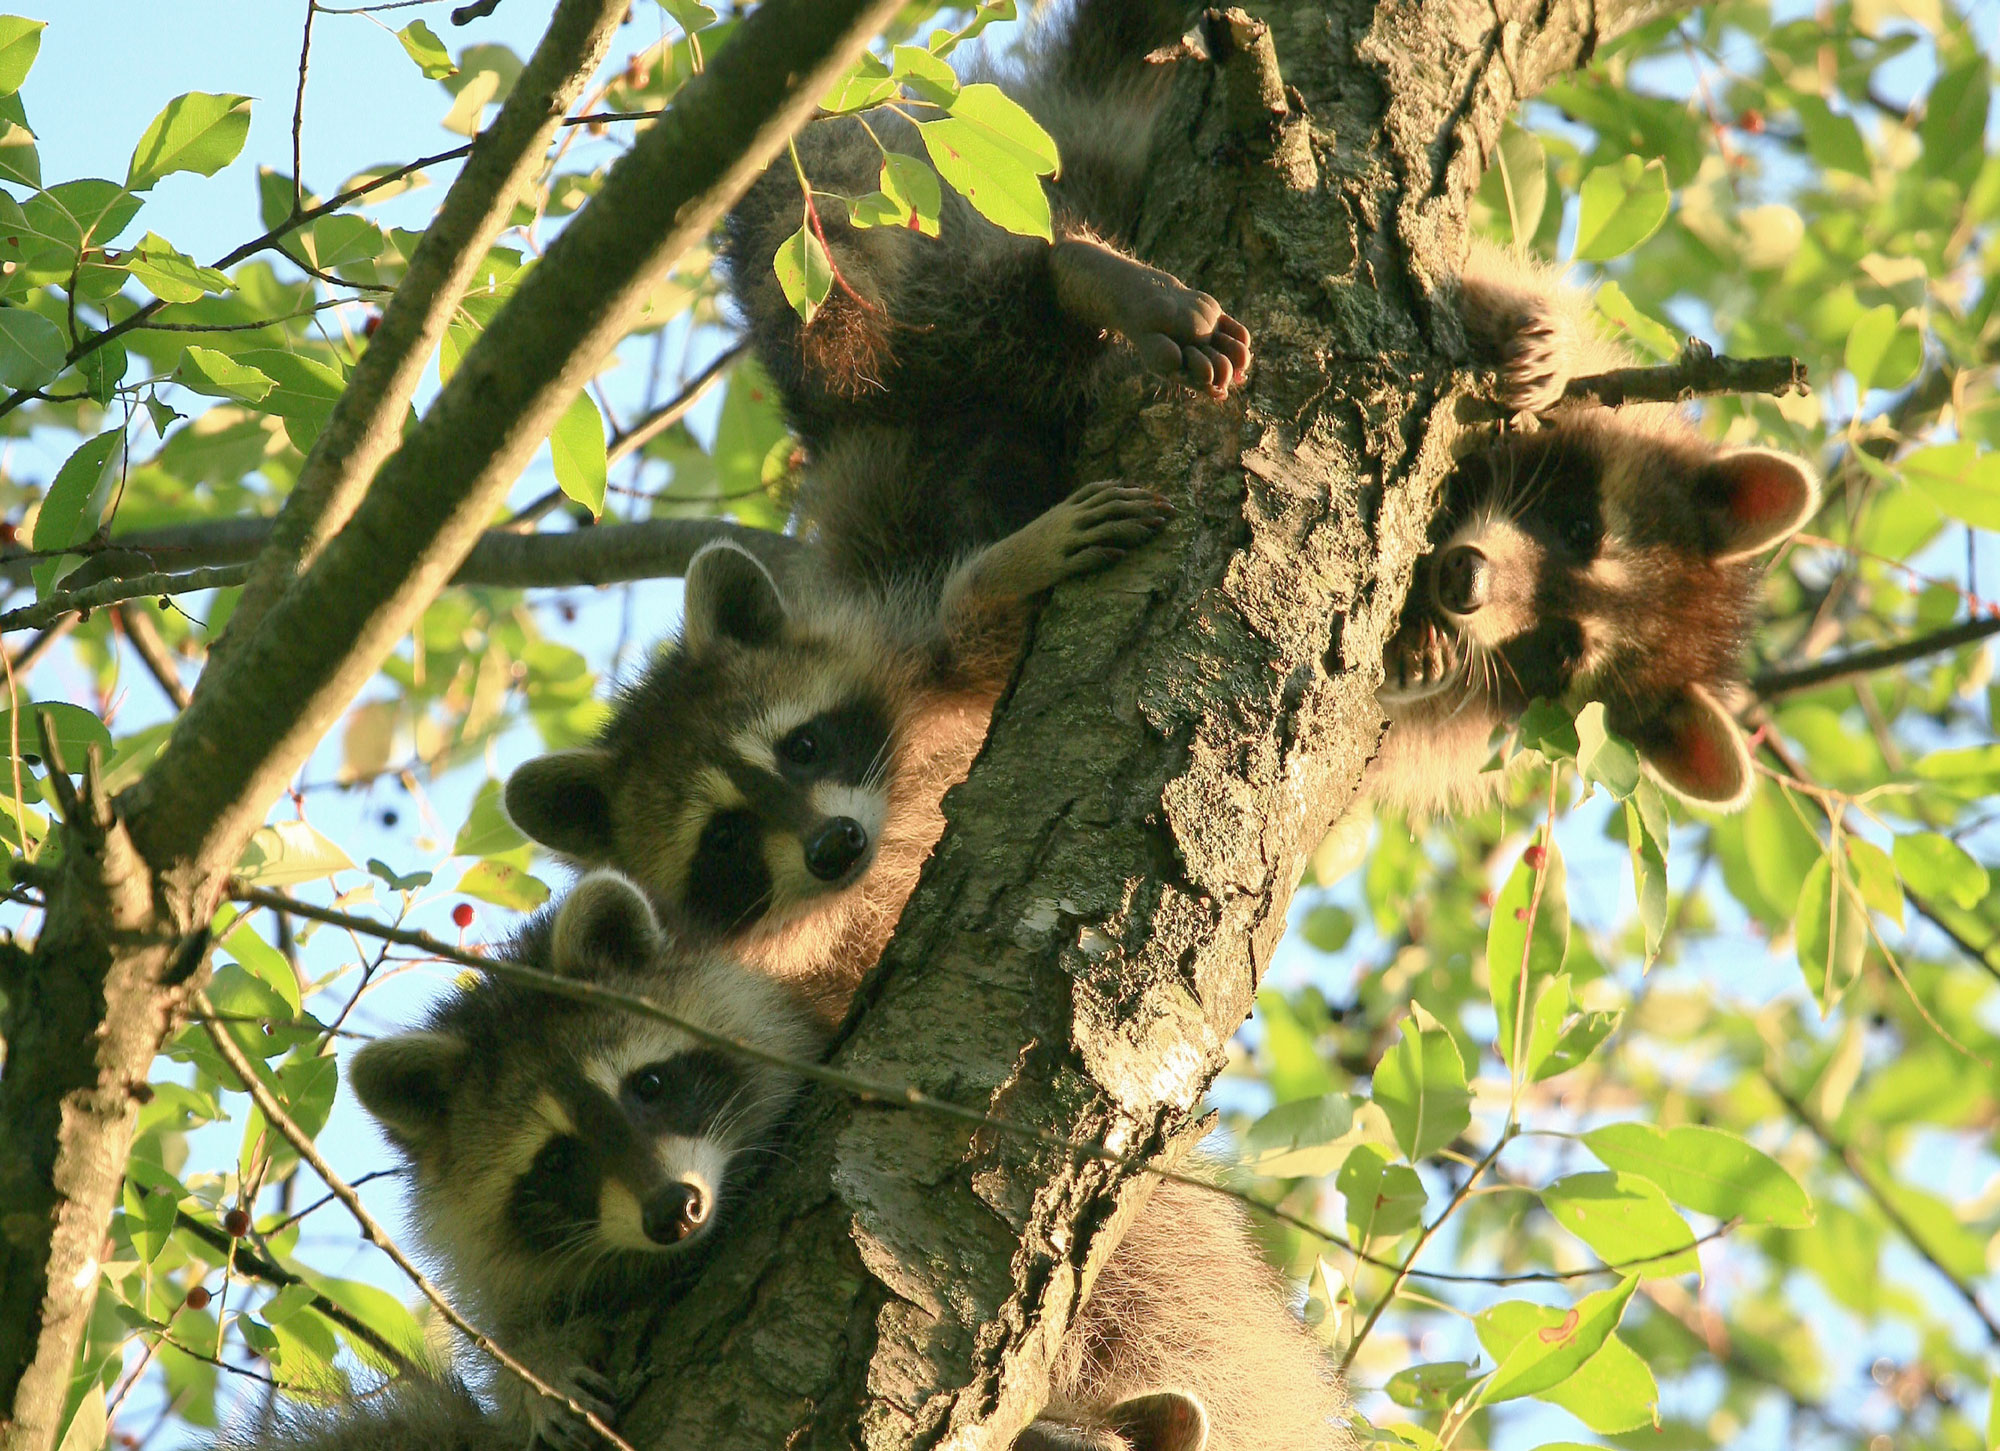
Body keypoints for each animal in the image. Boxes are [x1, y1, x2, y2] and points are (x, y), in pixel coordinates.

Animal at [1368, 244, 1824, 823]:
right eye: (1583, 529)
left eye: (1565, 647)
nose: (1465, 580)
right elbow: (1483, 285)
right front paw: (1546, 345)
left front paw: (1419, 661)